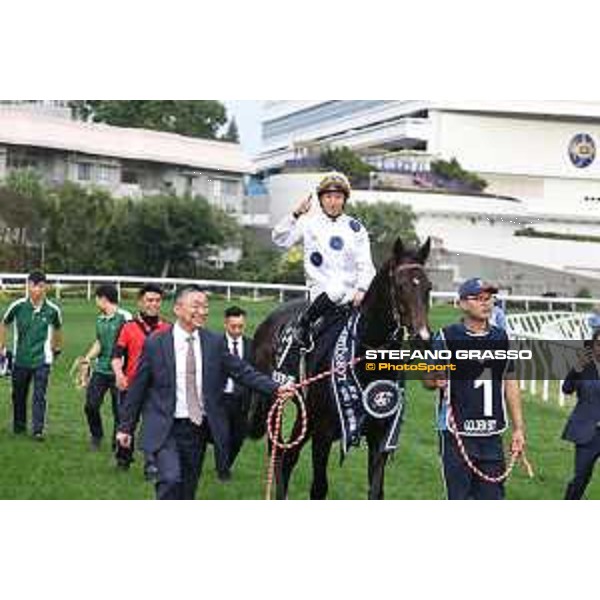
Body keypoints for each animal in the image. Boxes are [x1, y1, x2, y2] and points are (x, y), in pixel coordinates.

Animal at [248, 237, 432, 500]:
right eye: (400, 286)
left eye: (428, 287)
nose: (423, 337)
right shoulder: (323, 435)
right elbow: (319, 488)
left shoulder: (381, 436)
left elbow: (376, 491)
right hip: (277, 399)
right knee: (278, 451)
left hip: (305, 412)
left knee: (288, 455)